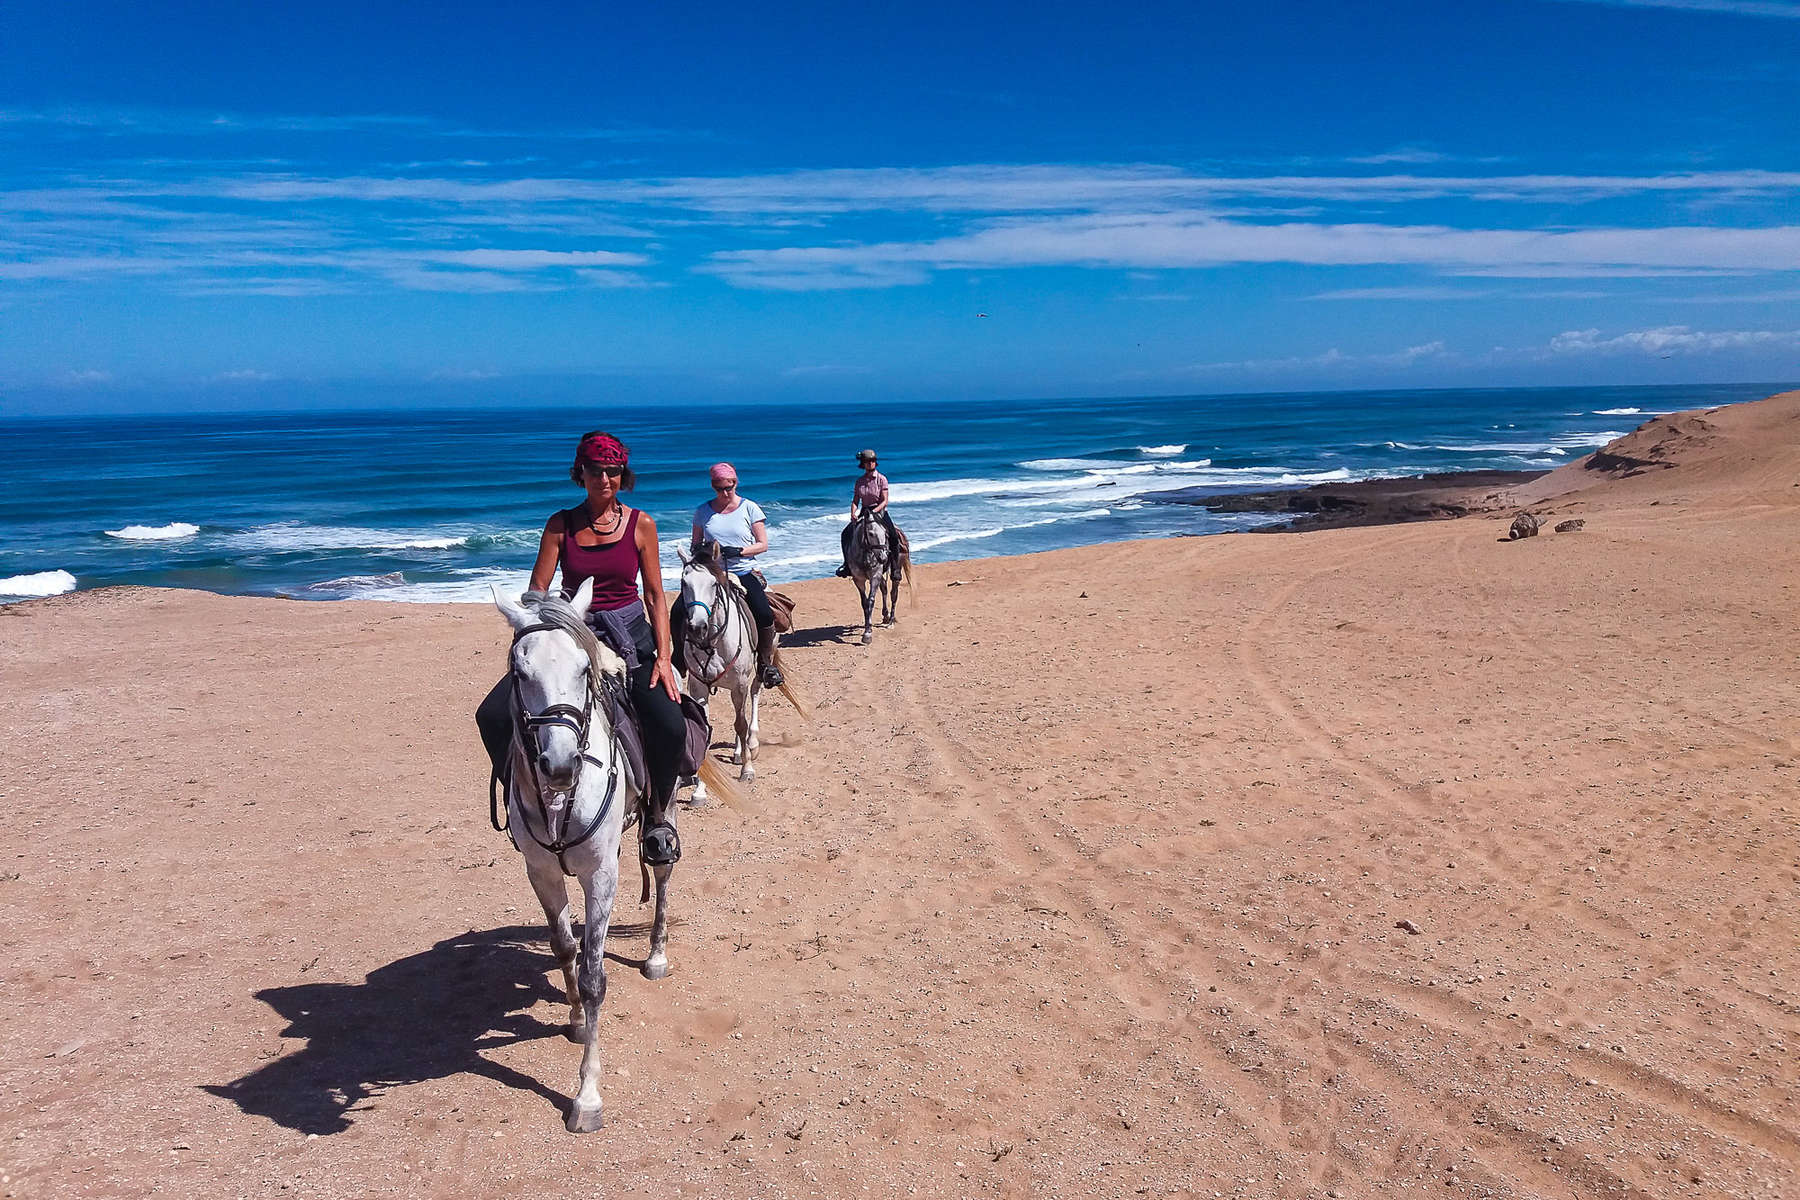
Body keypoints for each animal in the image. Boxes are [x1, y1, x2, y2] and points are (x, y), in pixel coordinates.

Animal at [489, 582, 673, 1137]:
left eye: (582, 670)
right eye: (520, 672)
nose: (560, 765)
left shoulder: (601, 874)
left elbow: (594, 977)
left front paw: (586, 1097)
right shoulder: (542, 873)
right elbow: (564, 947)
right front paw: (571, 1019)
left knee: (661, 872)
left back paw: (656, 954)